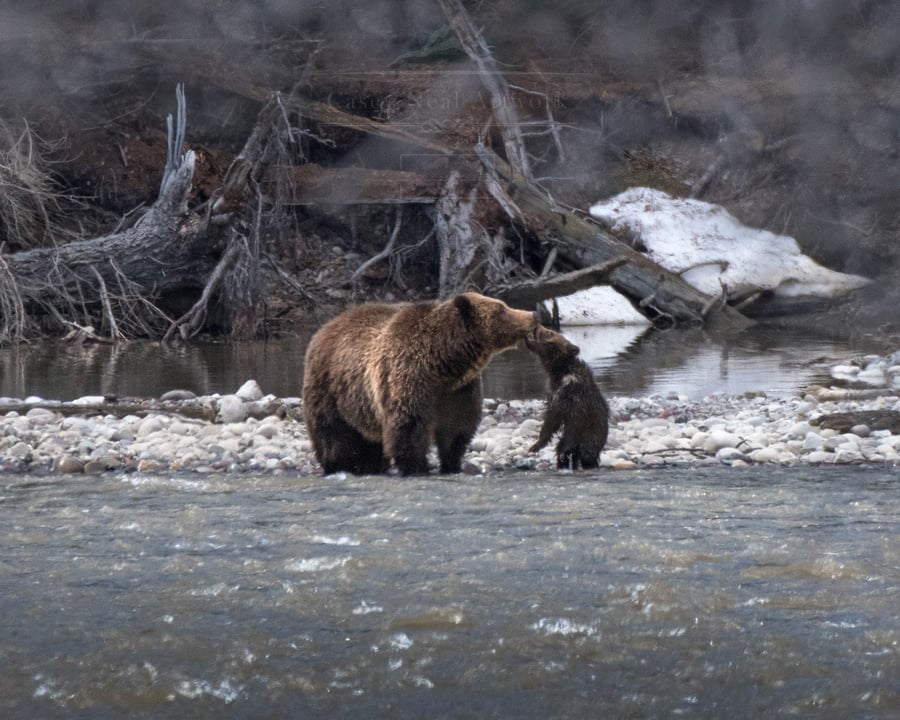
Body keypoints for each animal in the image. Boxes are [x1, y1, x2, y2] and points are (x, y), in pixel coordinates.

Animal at [302, 292, 536, 478]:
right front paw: (417, 467)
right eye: (501, 308)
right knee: (333, 435)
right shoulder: (409, 379)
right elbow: (409, 428)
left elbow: (457, 428)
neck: (443, 364)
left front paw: (452, 464)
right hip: (329, 389)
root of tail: (325, 328)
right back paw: (341, 465)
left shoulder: (458, 391)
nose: (532, 315)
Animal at [528, 324, 612, 470]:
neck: (561, 372)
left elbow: (571, 421)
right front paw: (535, 445)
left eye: (550, 332)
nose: (537, 326)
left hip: (592, 436)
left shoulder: (574, 396)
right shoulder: (553, 393)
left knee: (585, 453)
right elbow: (550, 420)